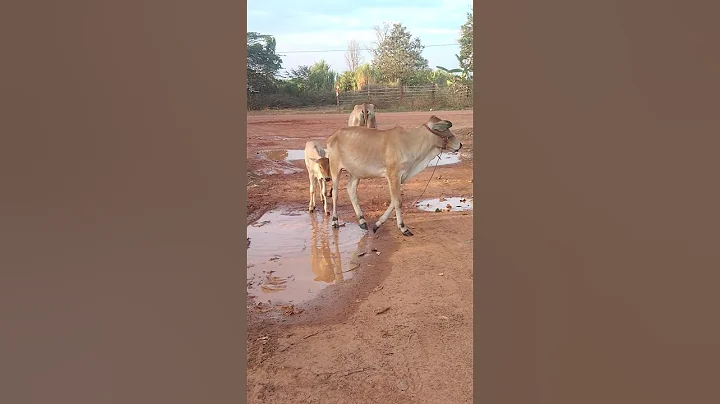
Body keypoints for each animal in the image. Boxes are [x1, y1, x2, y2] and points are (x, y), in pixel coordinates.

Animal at [327, 115, 462, 236]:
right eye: (443, 129)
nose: (460, 145)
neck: (410, 142)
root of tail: (333, 135)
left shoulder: (399, 178)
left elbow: (393, 200)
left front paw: (377, 225)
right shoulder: (393, 176)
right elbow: (397, 201)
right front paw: (403, 228)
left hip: (355, 172)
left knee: (351, 190)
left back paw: (362, 221)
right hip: (335, 168)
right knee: (335, 193)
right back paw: (335, 221)